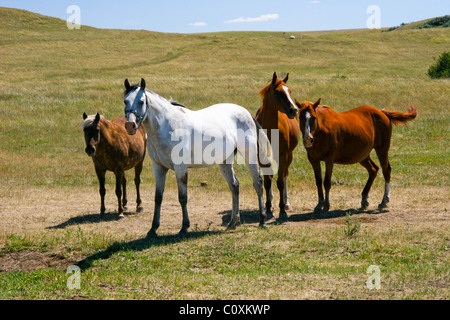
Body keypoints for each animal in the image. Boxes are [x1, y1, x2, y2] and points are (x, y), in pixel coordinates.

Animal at [123, 78, 274, 238]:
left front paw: (184, 227)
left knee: (258, 183)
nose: (130, 126)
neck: (166, 127)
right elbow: (158, 198)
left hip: (249, 155)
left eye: (141, 101)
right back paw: (232, 222)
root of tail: (246, 113)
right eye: (125, 101)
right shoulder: (158, 167)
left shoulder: (180, 168)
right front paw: (153, 229)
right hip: (225, 162)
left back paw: (262, 220)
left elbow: (182, 197)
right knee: (234, 186)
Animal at [255, 72, 300, 220]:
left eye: (289, 91)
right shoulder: (262, 158)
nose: (294, 110)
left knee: (285, 175)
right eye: (279, 92)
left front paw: (282, 210)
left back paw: (286, 203)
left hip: (289, 156)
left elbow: (280, 181)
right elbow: (267, 182)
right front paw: (268, 208)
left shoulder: (283, 155)